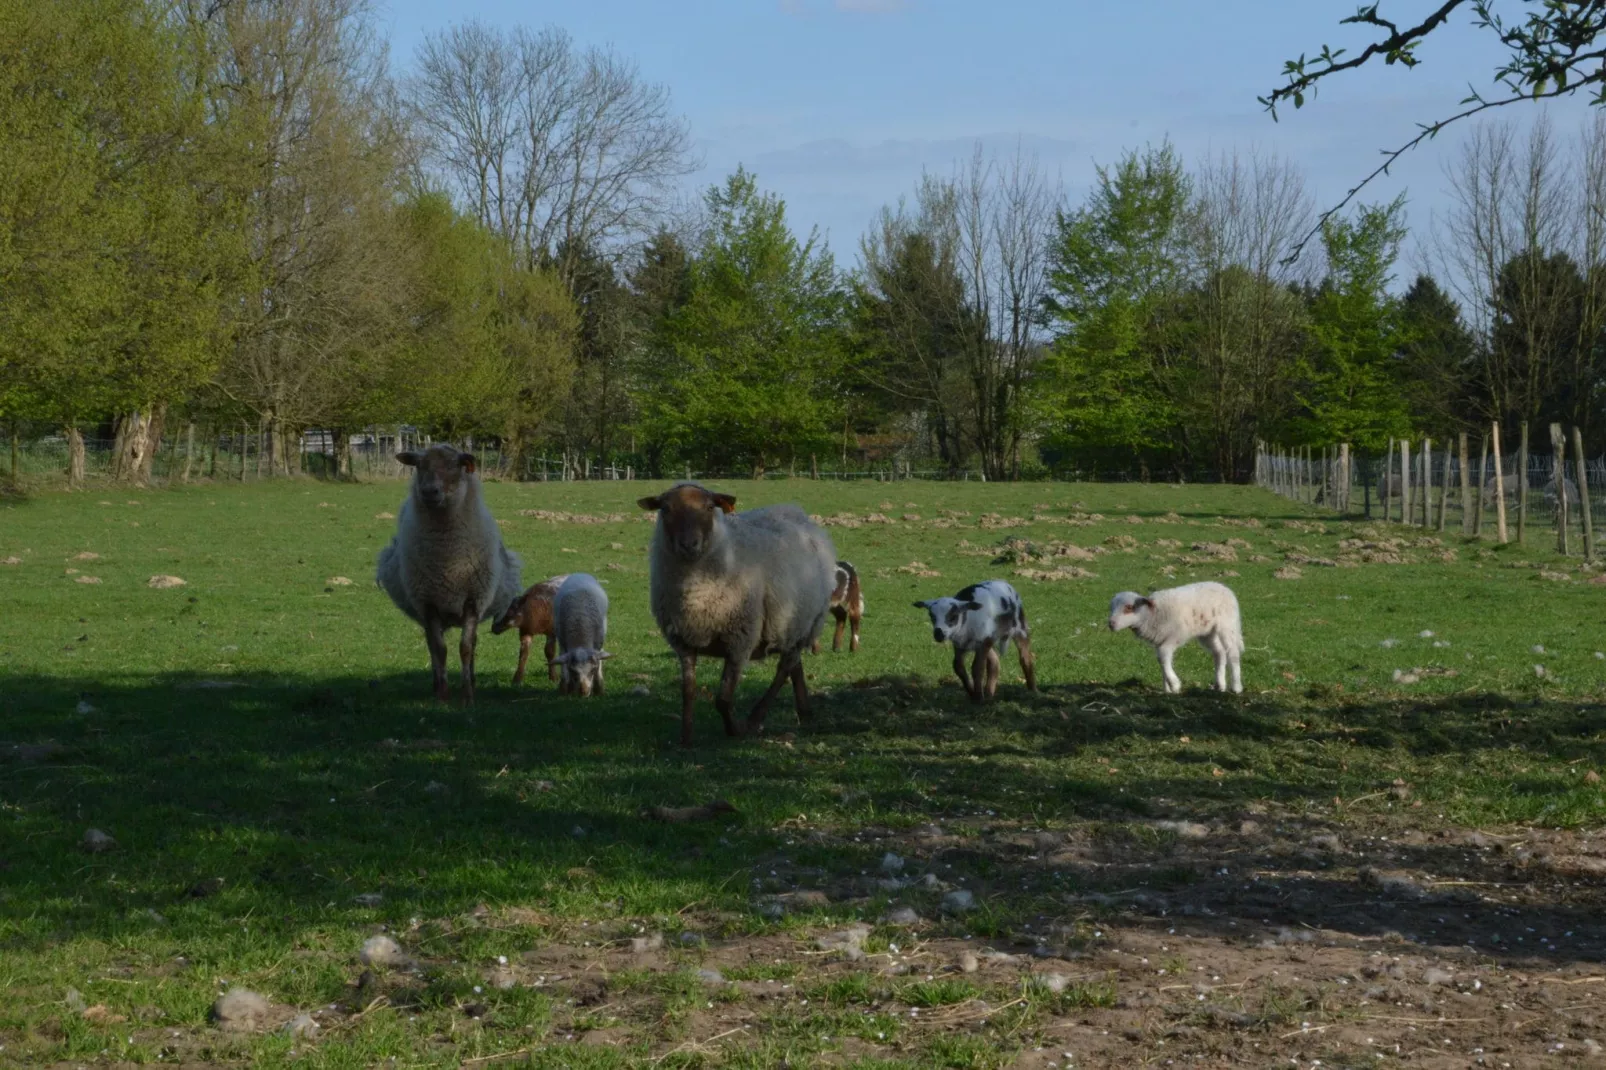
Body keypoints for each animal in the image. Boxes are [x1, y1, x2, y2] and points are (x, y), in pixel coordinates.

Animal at [375, 440, 520, 700]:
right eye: (419, 465)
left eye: (456, 465)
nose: (429, 492)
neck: (447, 560)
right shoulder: (428, 601)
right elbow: (440, 649)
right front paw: (442, 696)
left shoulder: (473, 599)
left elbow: (466, 648)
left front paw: (467, 695)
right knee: (431, 645)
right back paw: (435, 685)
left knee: (471, 643)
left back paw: (471, 680)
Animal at [632, 481, 835, 742]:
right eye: (665, 509)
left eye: (710, 507)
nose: (689, 545)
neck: (695, 593)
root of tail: (796, 512)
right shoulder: (683, 642)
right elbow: (688, 691)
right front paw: (685, 739)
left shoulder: (740, 641)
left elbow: (723, 699)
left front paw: (735, 731)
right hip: (790, 624)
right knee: (794, 666)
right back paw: (804, 710)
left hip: (808, 623)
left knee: (783, 669)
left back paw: (755, 718)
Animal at [1111, 578, 1246, 697]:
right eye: (1111, 608)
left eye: (1129, 608)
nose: (1111, 624)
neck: (1152, 615)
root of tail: (1225, 588)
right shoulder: (1159, 641)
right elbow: (1161, 660)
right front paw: (1167, 689)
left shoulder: (1174, 637)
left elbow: (1163, 657)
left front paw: (1174, 685)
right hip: (1207, 632)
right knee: (1219, 653)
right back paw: (1220, 685)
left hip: (1227, 625)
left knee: (1233, 653)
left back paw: (1236, 687)